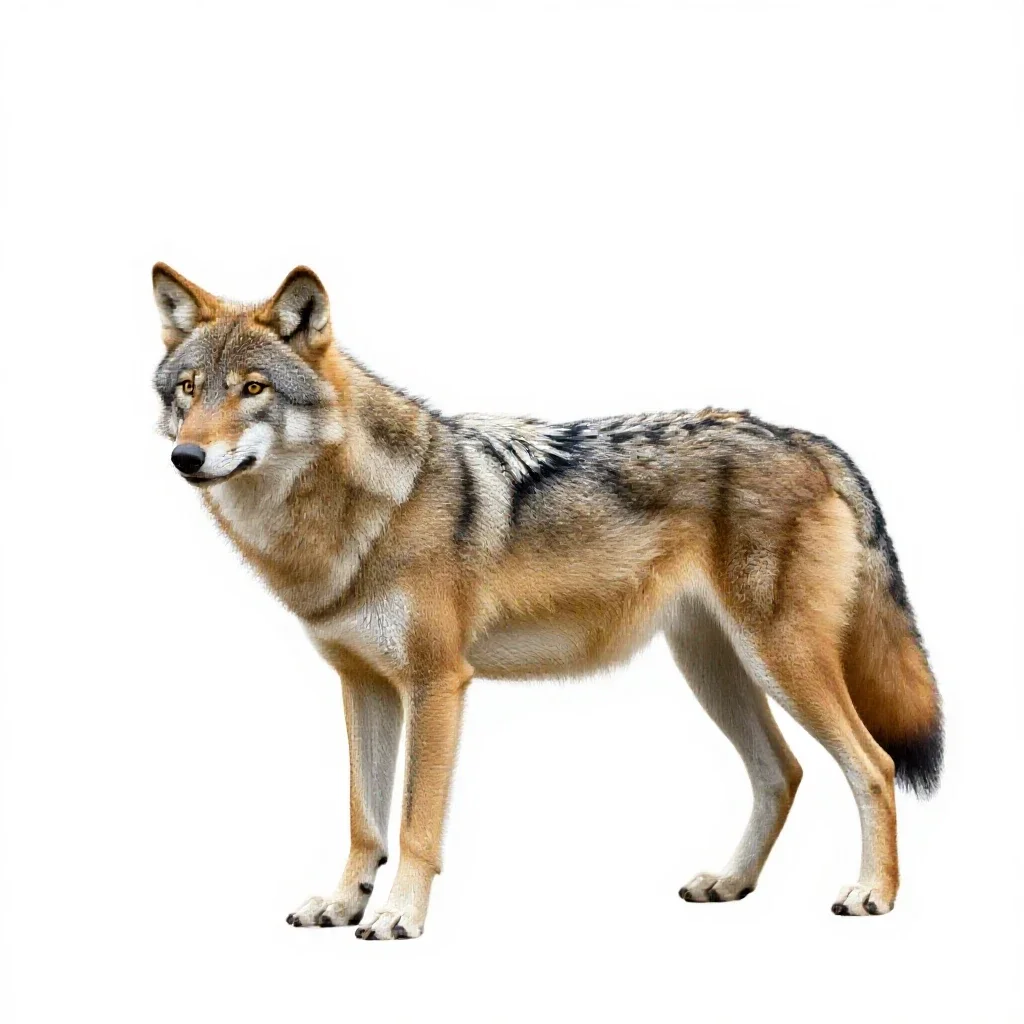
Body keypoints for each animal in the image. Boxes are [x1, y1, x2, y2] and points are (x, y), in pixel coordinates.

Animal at [152, 263, 942, 940]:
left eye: (254, 389)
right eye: (188, 389)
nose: (185, 458)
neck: (361, 510)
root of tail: (805, 439)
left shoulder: (438, 683)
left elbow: (413, 824)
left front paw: (398, 915)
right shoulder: (363, 685)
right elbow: (363, 821)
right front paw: (345, 904)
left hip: (781, 663)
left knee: (873, 765)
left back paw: (872, 893)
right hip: (714, 669)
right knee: (783, 773)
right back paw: (729, 882)